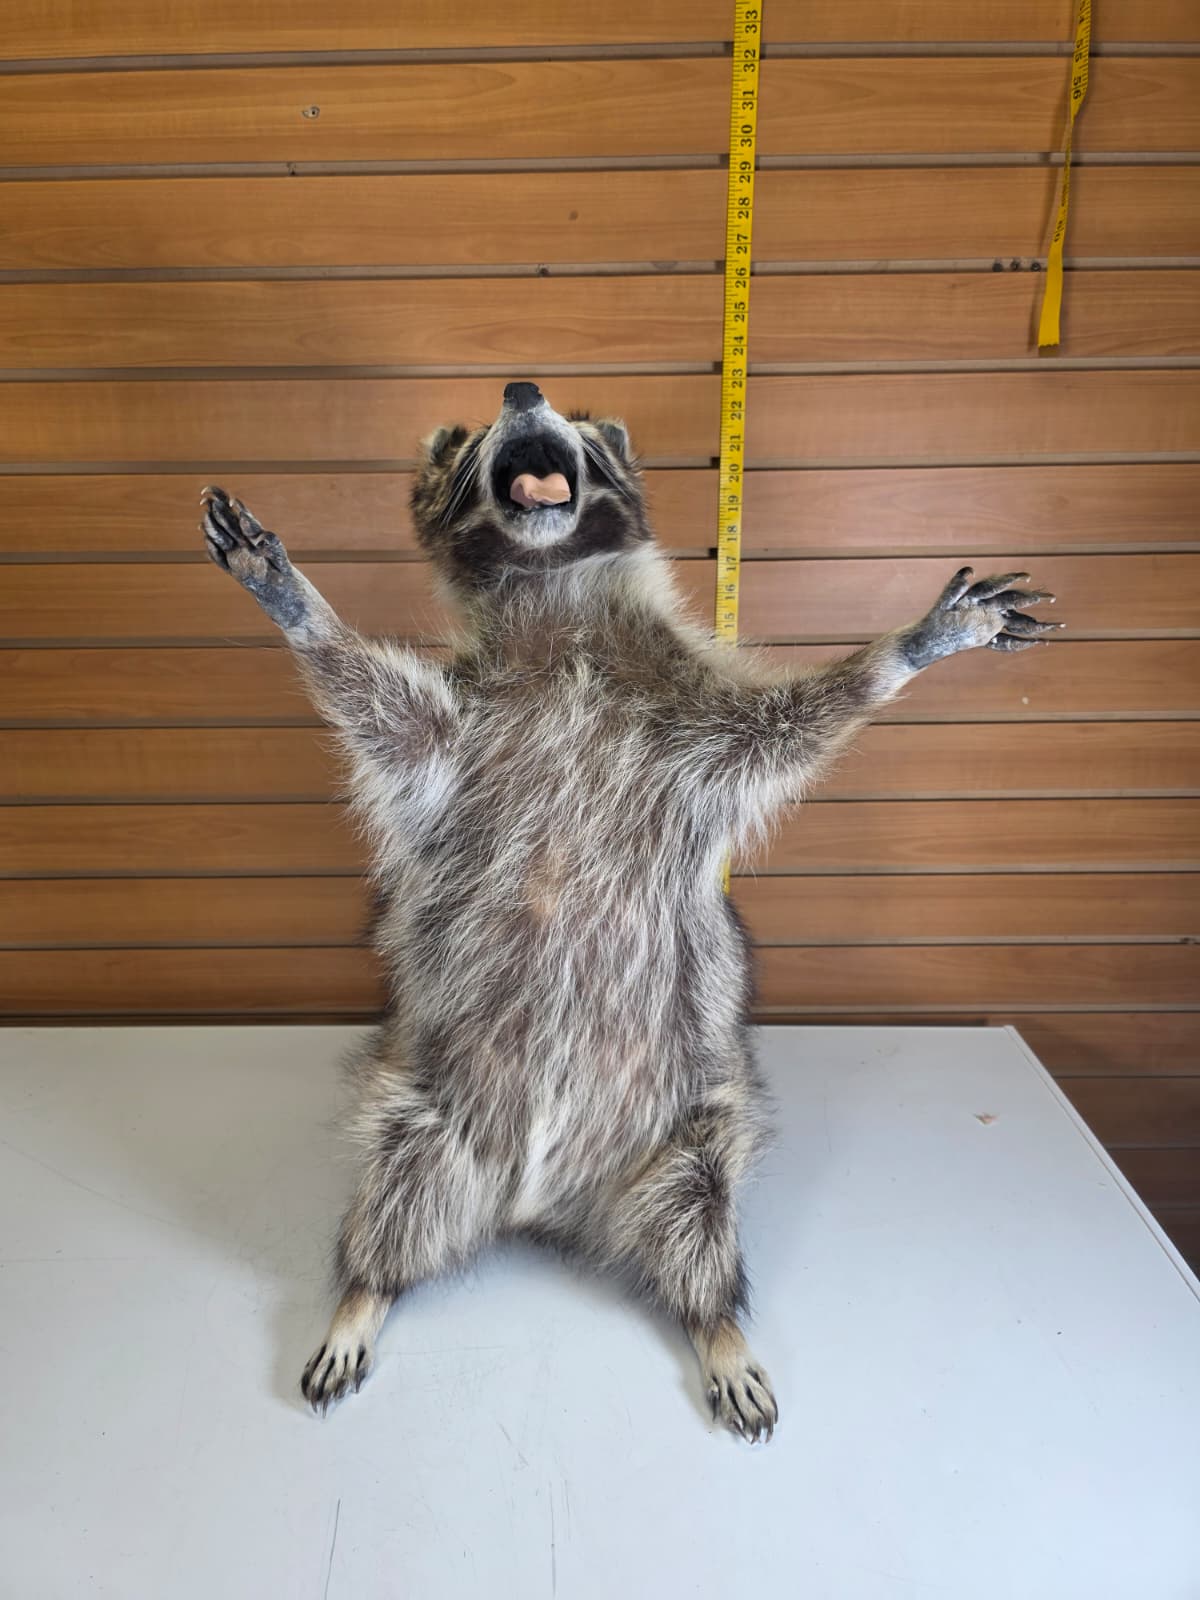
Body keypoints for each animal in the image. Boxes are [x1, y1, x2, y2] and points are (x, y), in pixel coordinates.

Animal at [201, 380, 1058, 1442]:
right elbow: (382, 710)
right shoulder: (455, 734)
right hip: (423, 1118)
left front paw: (908, 649)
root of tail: (539, 1203)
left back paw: (715, 1321)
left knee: (700, 1222)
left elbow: (798, 722)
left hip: (693, 1137)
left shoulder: (698, 722)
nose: (522, 385)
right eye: (467, 436)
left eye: (583, 421)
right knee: (393, 1196)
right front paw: (298, 607)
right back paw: (363, 1290)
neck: (556, 597)